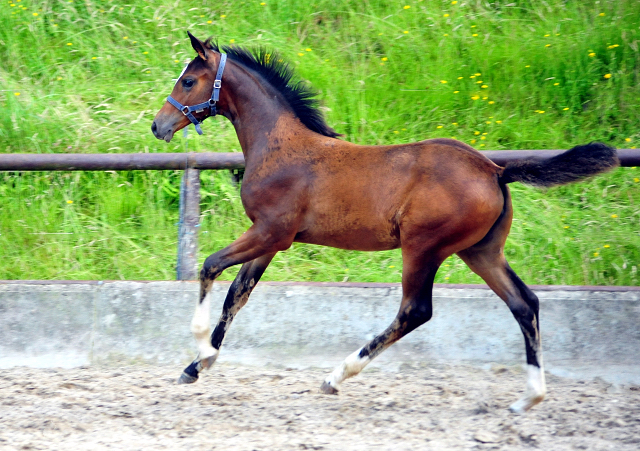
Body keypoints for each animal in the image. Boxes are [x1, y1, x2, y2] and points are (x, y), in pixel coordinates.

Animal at [152, 31, 616, 414]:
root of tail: (495, 170)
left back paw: (336, 376)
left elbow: (211, 266)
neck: (277, 145)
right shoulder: (272, 240)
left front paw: (201, 354)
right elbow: (238, 293)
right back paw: (529, 397)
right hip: (480, 251)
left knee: (416, 310)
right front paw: (196, 366)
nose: (158, 125)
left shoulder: (270, 233)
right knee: (524, 302)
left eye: (188, 81)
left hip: (423, 248)